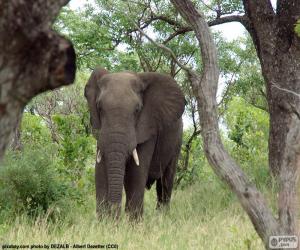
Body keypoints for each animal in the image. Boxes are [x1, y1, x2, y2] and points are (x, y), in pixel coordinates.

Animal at [83, 67, 184, 219]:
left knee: (165, 182)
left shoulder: (148, 127)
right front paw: (104, 222)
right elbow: (100, 172)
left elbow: (136, 174)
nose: (115, 217)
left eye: (137, 110)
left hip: (177, 142)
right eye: (99, 108)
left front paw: (134, 223)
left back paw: (162, 218)